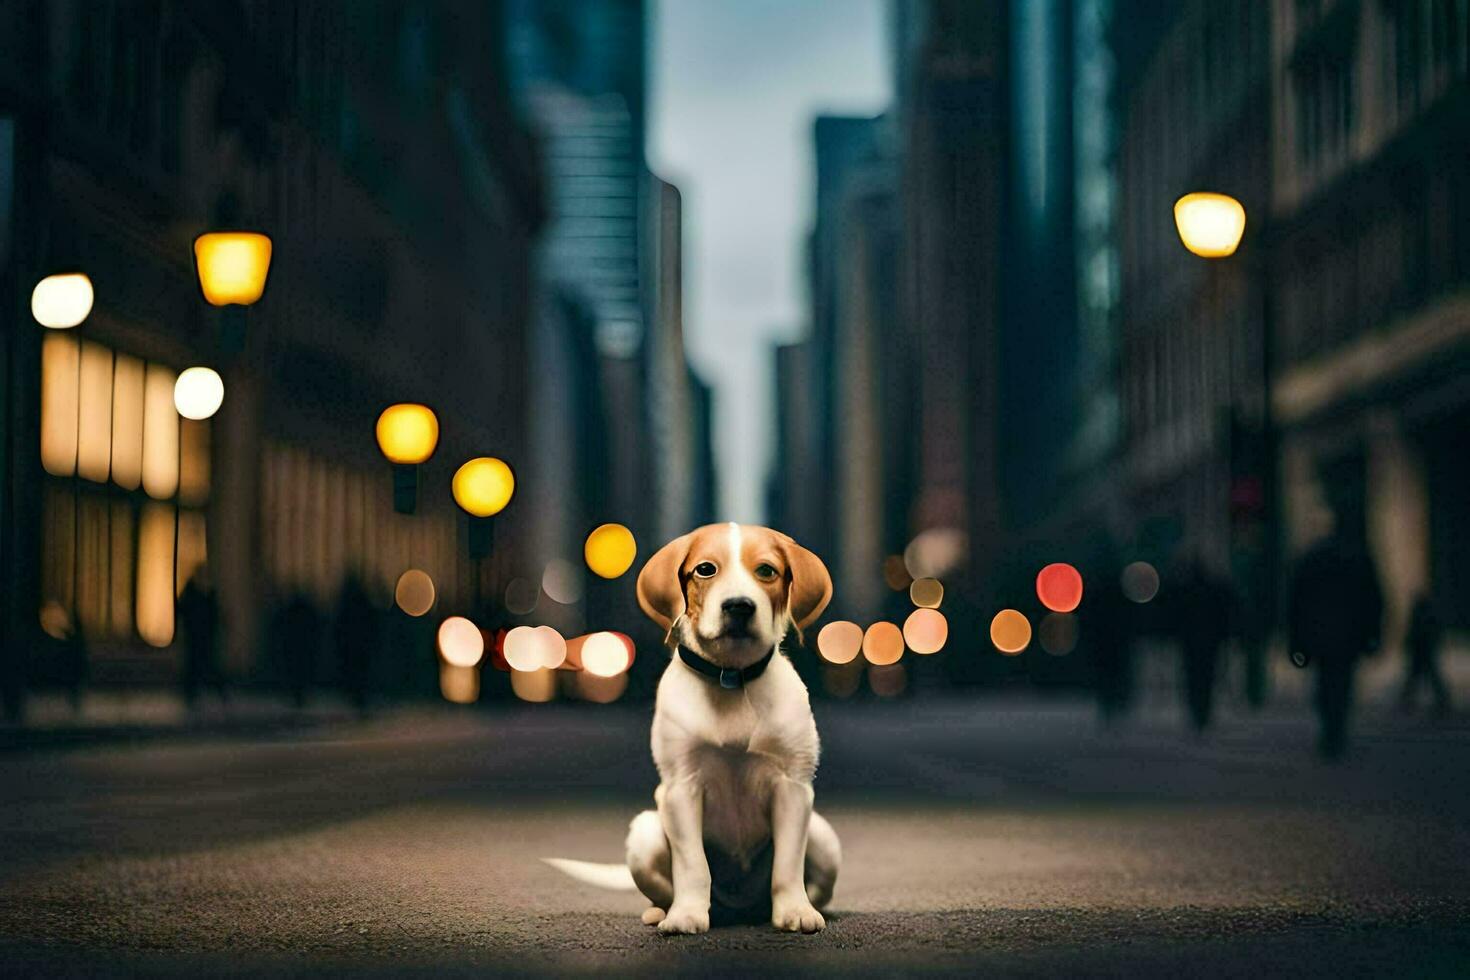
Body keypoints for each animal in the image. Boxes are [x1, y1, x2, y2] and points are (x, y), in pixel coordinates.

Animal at [546, 525, 840, 940]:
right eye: (705, 569)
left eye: (766, 571)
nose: (739, 606)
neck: (731, 678)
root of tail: (740, 908)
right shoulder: (680, 789)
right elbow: (692, 864)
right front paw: (686, 915)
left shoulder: (793, 788)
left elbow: (787, 864)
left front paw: (795, 911)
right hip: (646, 834)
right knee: (666, 887)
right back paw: (663, 912)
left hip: (825, 838)